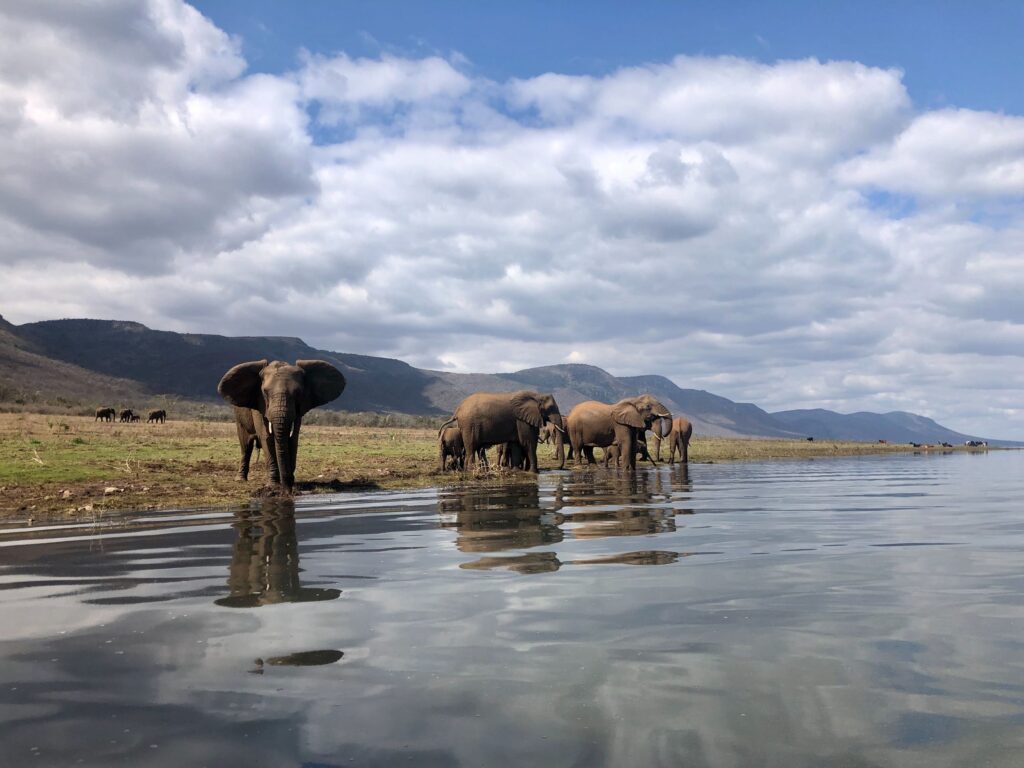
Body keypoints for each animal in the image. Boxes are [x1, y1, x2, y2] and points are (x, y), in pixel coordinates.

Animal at [217, 359, 346, 490]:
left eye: (298, 393)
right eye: (265, 392)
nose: (287, 489)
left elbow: (293, 438)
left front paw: (290, 482)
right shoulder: (260, 406)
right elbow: (267, 438)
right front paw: (273, 485)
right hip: (239, 418)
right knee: (246, 446)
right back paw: (240, 479)